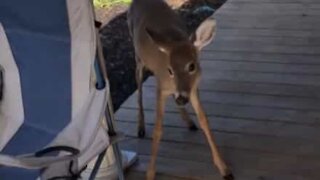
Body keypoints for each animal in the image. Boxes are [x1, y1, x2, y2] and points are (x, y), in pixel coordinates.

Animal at [126, 0, 234, 179]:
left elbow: (204, 121)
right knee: (139, 88)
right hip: (138, 58)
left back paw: (188, 121)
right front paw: (150, 172)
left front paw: (224, 168)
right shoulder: (161, 88)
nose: (182, 98)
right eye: (170, 70)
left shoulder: (193, 89)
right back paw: (140, 127)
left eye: (192, 66)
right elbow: (158, 130)